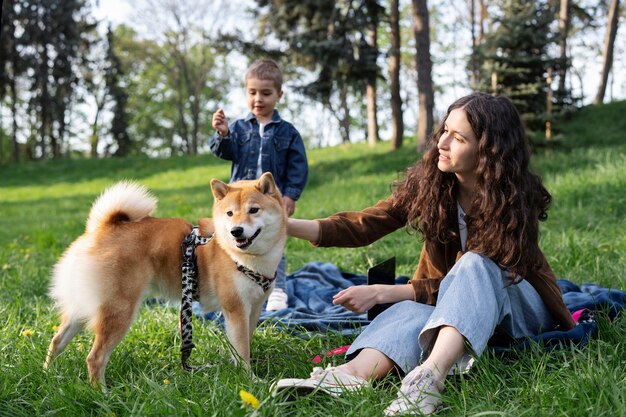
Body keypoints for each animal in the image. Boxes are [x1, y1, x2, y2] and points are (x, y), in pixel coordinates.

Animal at [44, 173, 286, 386]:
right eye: (229, 213)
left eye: (253, 210)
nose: (236, 231)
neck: (241, 256)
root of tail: (101, 228)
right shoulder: (236, 308)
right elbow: (243, 348)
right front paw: (250, 379)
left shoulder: (253, 307)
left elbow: (243, 343)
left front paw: (238, 368)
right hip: (119, 309)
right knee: (95, 357)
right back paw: (102, 393)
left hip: (84, 306)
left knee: (57, 341)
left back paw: (49, 373)